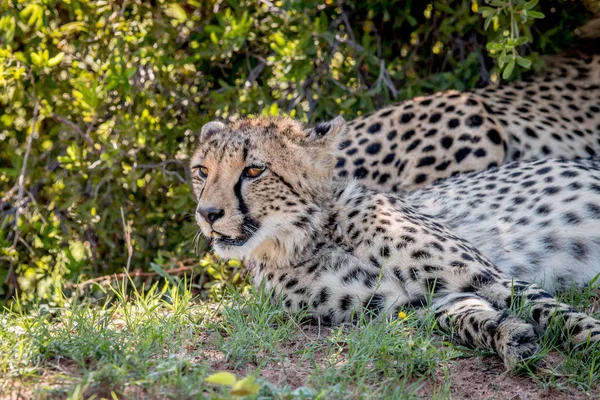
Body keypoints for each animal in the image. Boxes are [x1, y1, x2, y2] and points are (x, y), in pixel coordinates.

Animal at [190, 115, 600, 368]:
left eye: (253, 170)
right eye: (202, 171)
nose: (207, 213)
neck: (313, 235)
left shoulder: (489, 276)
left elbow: (559, 314)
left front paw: (590, 342)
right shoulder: (407, 303)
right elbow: (468, 317)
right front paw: (510, 336)